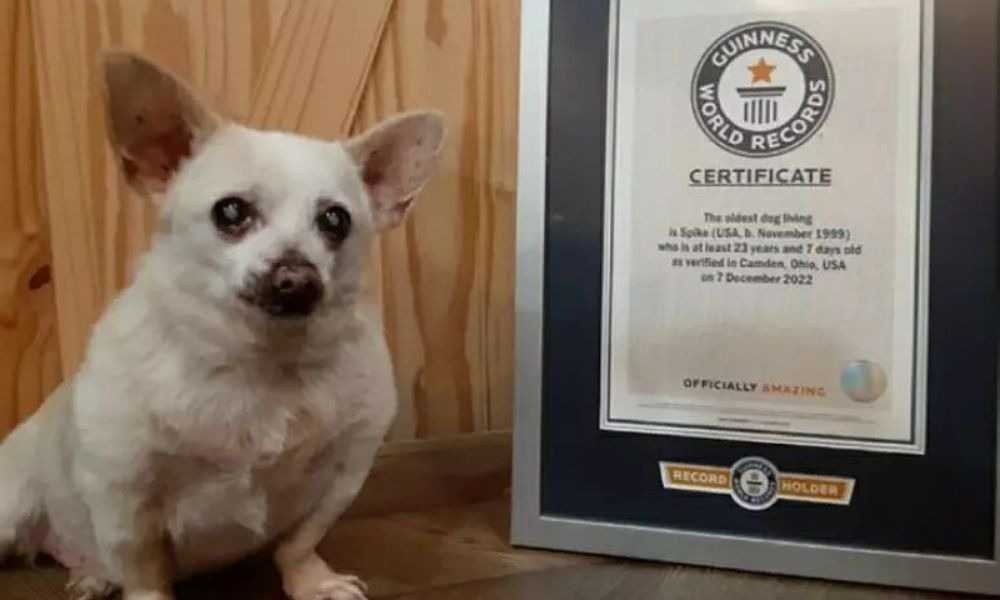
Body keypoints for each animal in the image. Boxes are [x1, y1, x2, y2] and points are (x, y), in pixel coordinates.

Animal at [0, 51, 444, 600]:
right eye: (231, 212)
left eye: (335, 221)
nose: (296, 277)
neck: (261, 365)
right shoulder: (124, 493)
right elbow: (144, 569)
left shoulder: (343, 473)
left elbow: (299, 542)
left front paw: (313, 582)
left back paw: (91, 574)